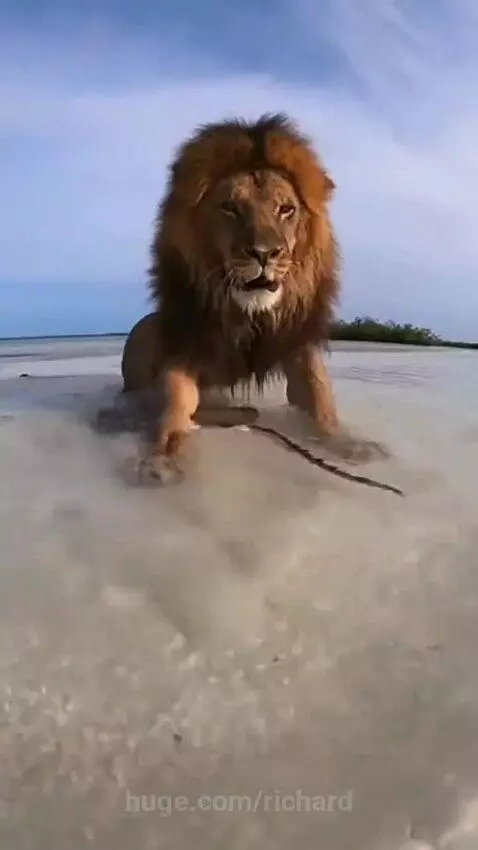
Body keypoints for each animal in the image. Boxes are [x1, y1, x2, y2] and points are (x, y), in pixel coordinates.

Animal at [121, 113, 387, 482]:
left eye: (286, 209)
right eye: (230, 208)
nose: (264, 253)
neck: (249, 315)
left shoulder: (297, 340)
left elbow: (319, 398)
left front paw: (350, 446)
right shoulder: (186, 339)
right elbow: (175, 401)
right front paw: (164, 458)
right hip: (144, 333)